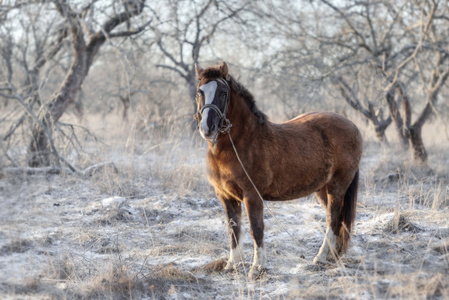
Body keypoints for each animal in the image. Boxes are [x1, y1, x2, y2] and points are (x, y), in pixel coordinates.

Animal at [194, 62, 362, 278]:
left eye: (223, 93)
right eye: (199, 92)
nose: (207, 128)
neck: (239, 143)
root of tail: (353, 126)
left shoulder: (252, 195)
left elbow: (256, 228)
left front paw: (258, 267)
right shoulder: (225, 196)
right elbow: (233, 229)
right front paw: (233, 264)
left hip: (337, 186)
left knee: (333, 219)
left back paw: (320, 257)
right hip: (322, 190)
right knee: (334, 219)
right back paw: (333, 255)